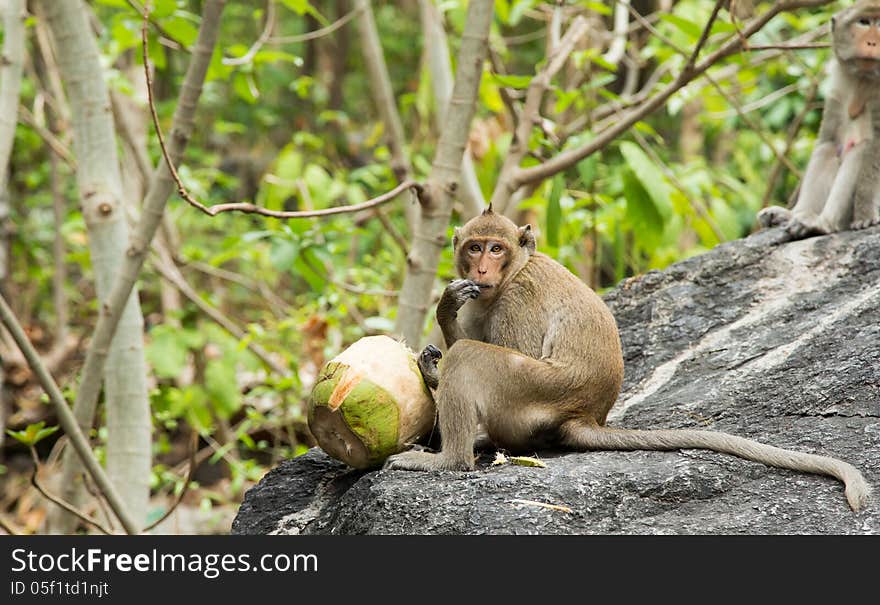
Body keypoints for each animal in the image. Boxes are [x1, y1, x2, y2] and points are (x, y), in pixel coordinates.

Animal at [386, 205, 872, 512]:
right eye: (474, 247)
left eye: (496, 248)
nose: (482, 270)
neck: (514, 272)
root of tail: (584, 415)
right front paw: (437, 339)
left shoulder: (517, 300)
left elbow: (506, 348)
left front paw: (442, 325)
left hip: (534, 391)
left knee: (472, 357)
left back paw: (450, 459)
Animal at [756, 1, 880, 238]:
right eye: (864, 22)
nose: (872, 42)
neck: (863, 80)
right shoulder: (837, 88)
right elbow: (827, 140)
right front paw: (789, 212)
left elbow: (875, 150)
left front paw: (865, 214)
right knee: (828, 149)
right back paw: (795, 215)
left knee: (860, 150)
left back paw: (824, 223)